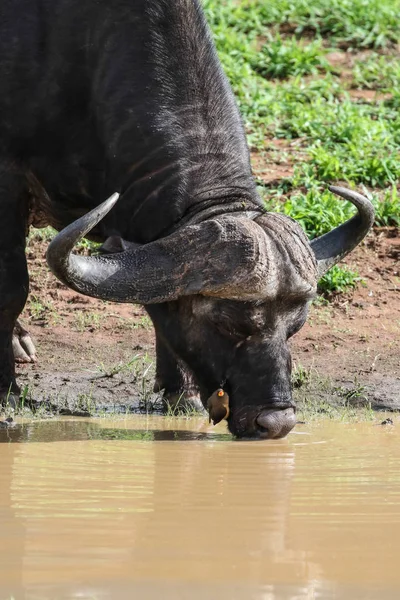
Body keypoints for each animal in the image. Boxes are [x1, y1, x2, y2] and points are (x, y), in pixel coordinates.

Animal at [0, 0, 376, 436]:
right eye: (228, 324)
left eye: (295, 325)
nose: (276, 422)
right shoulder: (8, 181)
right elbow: (11, 289)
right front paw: (7, 390)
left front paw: (178, 391)